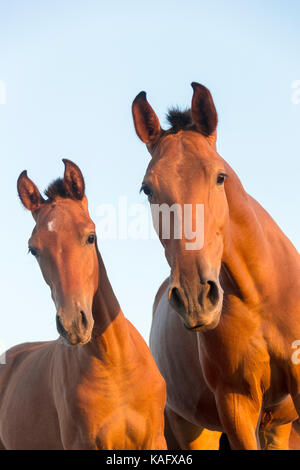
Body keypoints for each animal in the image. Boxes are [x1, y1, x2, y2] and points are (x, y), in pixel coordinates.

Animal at [132, 82, 300, 450]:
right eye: (147, 188)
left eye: (219, 176)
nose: (195, 298)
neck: (260, 298)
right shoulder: (235, 404)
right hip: (194, 429)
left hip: (280, 425)